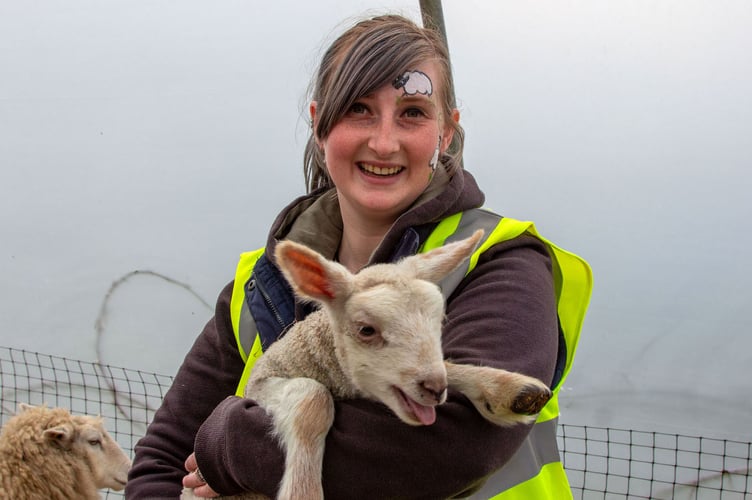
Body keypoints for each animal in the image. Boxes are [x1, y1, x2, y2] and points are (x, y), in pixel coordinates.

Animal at [181, 231, 548, 500]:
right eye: (366, 330)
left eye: (440, 319)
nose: (434, 389)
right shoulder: (261, 382)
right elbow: (312, 400)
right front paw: (304, 492)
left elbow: (452, 365)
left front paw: (510, 390)